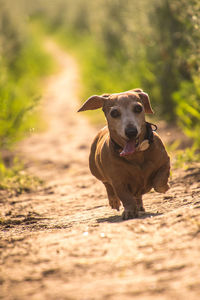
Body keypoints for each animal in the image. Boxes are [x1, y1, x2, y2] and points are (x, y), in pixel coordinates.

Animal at [77, 88, 170, 219]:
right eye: (114, 113)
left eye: (138, 108)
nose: (131, 132)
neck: (136, 154)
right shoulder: (118, 181)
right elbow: (125, 197)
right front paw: (129, 211)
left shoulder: (165, 162)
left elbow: (160, 180)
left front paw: (164, 187)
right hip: (96, 171)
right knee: (107, 185)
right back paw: (114, 200)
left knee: (138, 195)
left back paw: (139, 205)